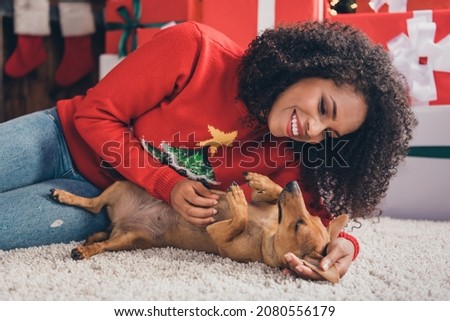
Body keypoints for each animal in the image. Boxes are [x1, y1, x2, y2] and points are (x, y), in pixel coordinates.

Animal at [51, 172, 348, 282]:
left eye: (299, 224)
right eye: (309, 216)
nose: (294, 184)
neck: (269, 229)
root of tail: (118, 223)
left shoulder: (219, 234)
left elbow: (239, 219)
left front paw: (237, 199)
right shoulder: (266, 203)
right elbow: (271, 194)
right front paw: (260, 181)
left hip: (125, 240)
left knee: (101, 239)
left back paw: (84, 249)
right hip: (119, 186)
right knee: (92, 204)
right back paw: (64, 196)